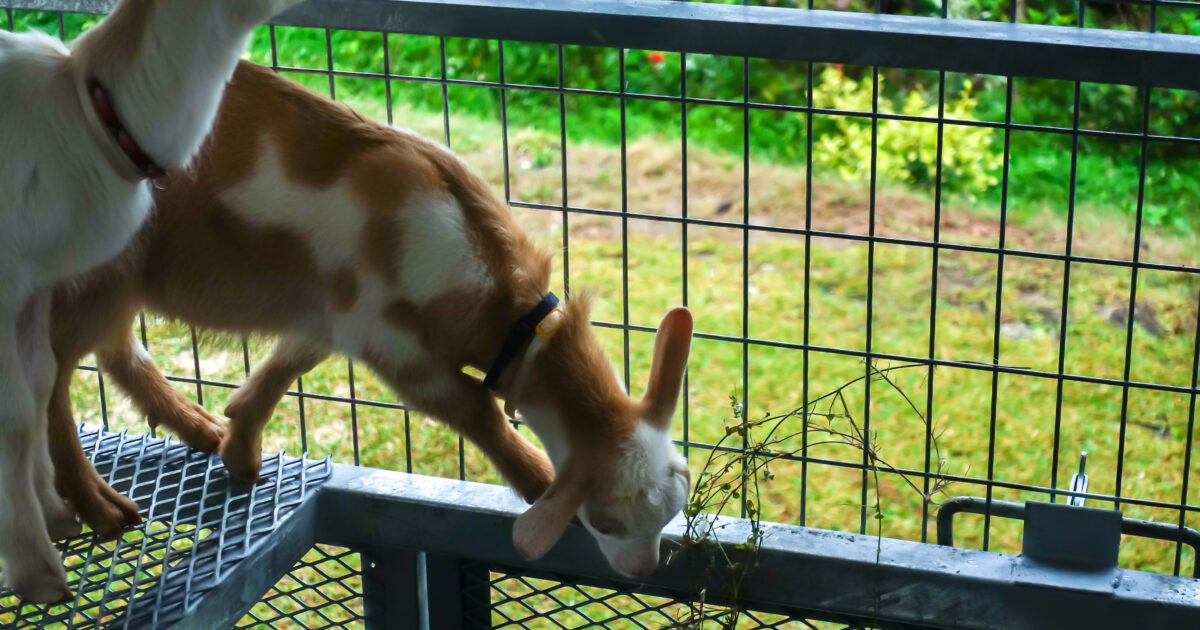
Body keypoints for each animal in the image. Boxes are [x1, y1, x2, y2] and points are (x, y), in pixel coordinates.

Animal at [51, 61, 696, 578]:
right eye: (606, 522)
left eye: (676, 508)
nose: (645, 571)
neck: (512, 320)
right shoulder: (390, 342)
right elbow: (477, 409)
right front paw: (536, 479)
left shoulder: (332, 315)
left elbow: (287, 364)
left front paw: (240, 445)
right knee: (52, 385)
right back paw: (97, 507)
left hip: (119, 281)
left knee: (112, 349)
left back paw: (195, 426)